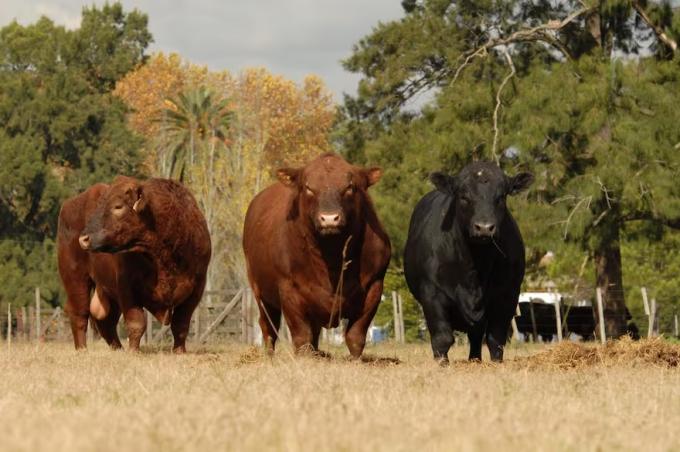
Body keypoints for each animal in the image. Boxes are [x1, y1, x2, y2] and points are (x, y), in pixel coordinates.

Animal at [56, 177, 210, 354]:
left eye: (118, 206)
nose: (84, 239)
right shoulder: (127, 288)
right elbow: (137, 322)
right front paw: (133, 351)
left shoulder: (196, 289)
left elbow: (181, 324)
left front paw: (179, 351)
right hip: (76, 280)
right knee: (80, 314)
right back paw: (82, 349)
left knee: (106, 322)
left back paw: (118, 349)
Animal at [243, 154, 394, 358]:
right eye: (308, 187)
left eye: (349, 186)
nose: (329, 218)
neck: (332, 257)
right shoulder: (289, 288)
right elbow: (301, 336)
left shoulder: (374, 286)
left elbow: (355, 335)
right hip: (259, 291)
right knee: (269, 327)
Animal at [404, 161, 532, 362]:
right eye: (463, 196)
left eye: (501, 196)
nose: (484, 227)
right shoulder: (432, 293)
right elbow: (442, 338)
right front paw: (442, 364)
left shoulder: (507, 294)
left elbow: (496, 339)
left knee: (476, 336)